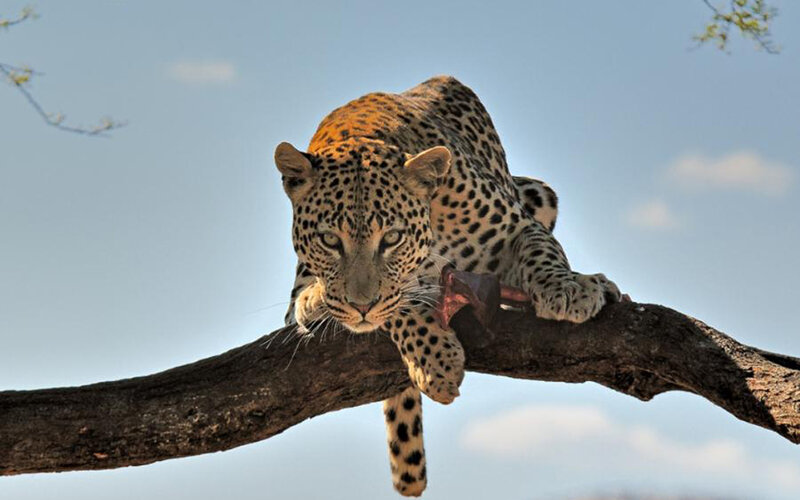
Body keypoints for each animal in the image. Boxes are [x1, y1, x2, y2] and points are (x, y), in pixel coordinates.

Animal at [274, 76, 620, 496]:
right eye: (328, 240)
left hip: (539, 191)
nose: (360, 306)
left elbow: (541, 251)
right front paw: (435, 363)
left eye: (392, 238)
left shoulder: (515, 229)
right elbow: (397, 303)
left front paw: (566, 288)